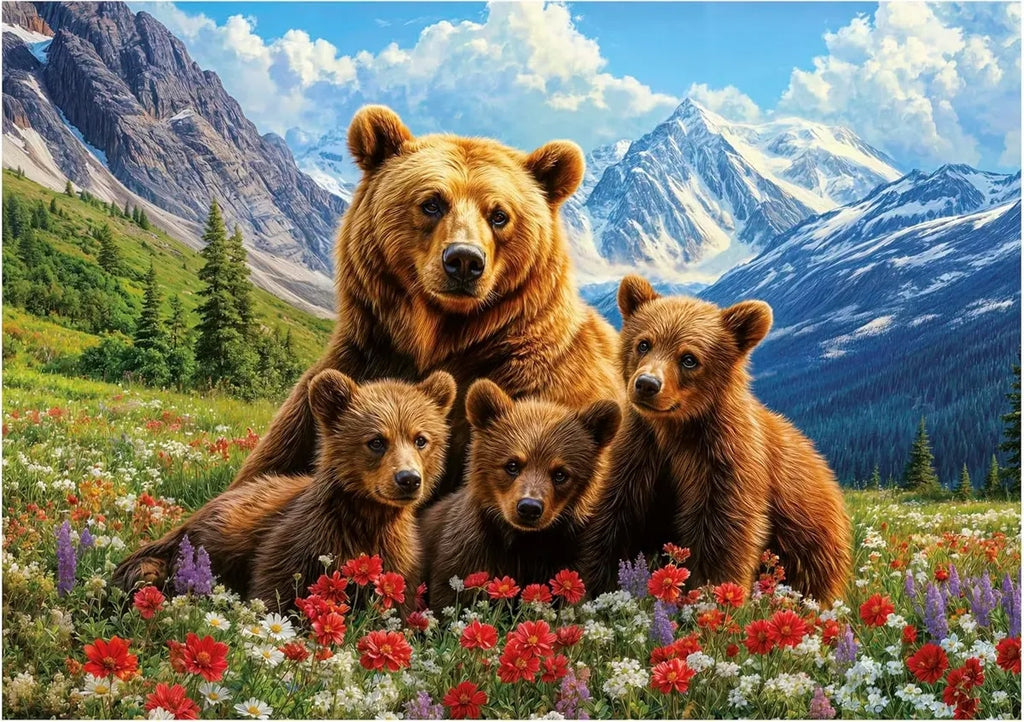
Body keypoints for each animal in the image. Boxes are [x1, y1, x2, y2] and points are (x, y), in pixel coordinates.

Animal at [112, 369, 456, 604]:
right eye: (376, 441)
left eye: (421, 439)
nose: (408, 479)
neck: (367, 516)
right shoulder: (301, 535)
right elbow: (275, 583)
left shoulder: (398, 554)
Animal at [421, 379, 621, 613]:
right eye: (512, 464)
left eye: (560, 474)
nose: (529, 507)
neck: (525, 544)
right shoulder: (466, 556)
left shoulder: (570, 558)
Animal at [581, 275, 852, 604]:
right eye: (643, 343)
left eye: (689, 359)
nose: (647, 384)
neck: (675, 431)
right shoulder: (640, 452)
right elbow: (615, 517)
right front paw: (596, 588)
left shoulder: (724, 461)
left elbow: (722, 533)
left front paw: (710, 596)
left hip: (810, 540)